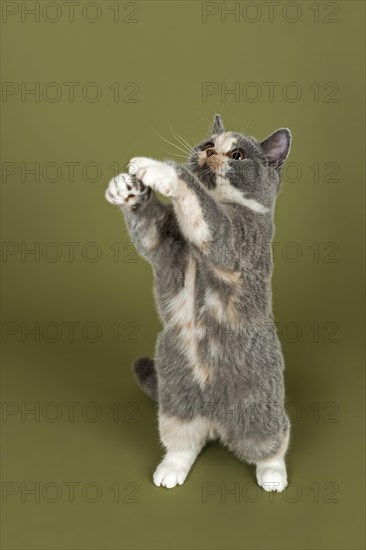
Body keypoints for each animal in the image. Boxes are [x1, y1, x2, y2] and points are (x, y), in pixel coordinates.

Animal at [105, 114, 292, 494]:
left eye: (237, 154)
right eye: (208, 144)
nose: (209, 155)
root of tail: (216, 419)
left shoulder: (235, 240)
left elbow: (202, 208)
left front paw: (156, 169)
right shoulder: (165, 247)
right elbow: (151, 231)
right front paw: (127, 189)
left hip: (259, 411)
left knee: (272, 439)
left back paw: (272, 475)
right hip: (176, 401)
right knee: (184, 440)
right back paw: (172, 468)